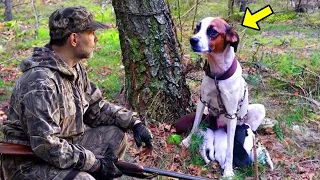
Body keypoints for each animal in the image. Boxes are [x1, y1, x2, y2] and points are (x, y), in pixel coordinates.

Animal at [181, 17, 266, 177]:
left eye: (213, 31)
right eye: (198, 28)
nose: (192, 40)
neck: (218, 75)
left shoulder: (231, 114)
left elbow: (229, 149)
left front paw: (228, 171)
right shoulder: (202, 101)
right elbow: (195, 125)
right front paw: (188, 141)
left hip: (257, 110)